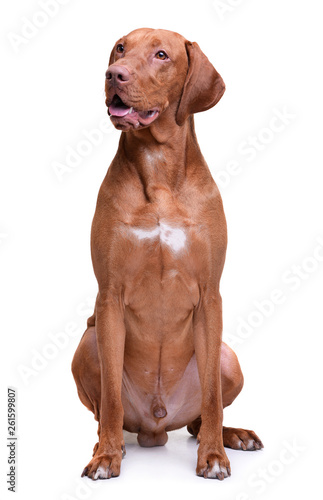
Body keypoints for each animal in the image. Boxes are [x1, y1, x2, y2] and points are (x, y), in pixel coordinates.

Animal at [71, 27, 264, 480]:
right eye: (120, 48)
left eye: (161, 55)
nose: (114, 74)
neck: (158, 169)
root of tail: (156, 427)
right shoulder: (109, 297)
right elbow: (110, 398)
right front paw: (106, 456)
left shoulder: (210, 296)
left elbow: (211, 398)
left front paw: (212, 456)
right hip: (88, 342)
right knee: (108, 412)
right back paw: (109, 444)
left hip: (227, 357)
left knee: (200, 416)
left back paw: (232, 436)